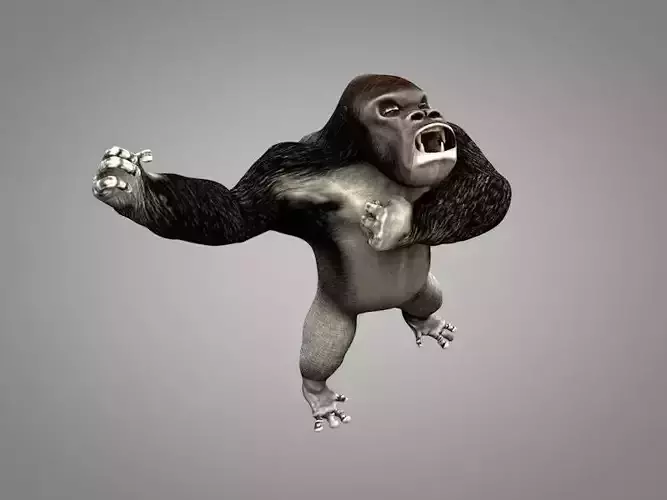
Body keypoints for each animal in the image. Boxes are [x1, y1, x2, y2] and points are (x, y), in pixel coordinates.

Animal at [91, 74, 512, 432]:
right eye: (391, 110)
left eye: (422, 104)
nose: (426, 115)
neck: (369, 159)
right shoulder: (283, 167)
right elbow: (238, 215)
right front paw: (134, 191)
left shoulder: (461, 135)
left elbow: (494, 183)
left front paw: (398, 222)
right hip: (335, 311)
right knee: (321, 349)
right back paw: (316, 390)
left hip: (420, 288)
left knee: (426, 299)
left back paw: (424, 320)